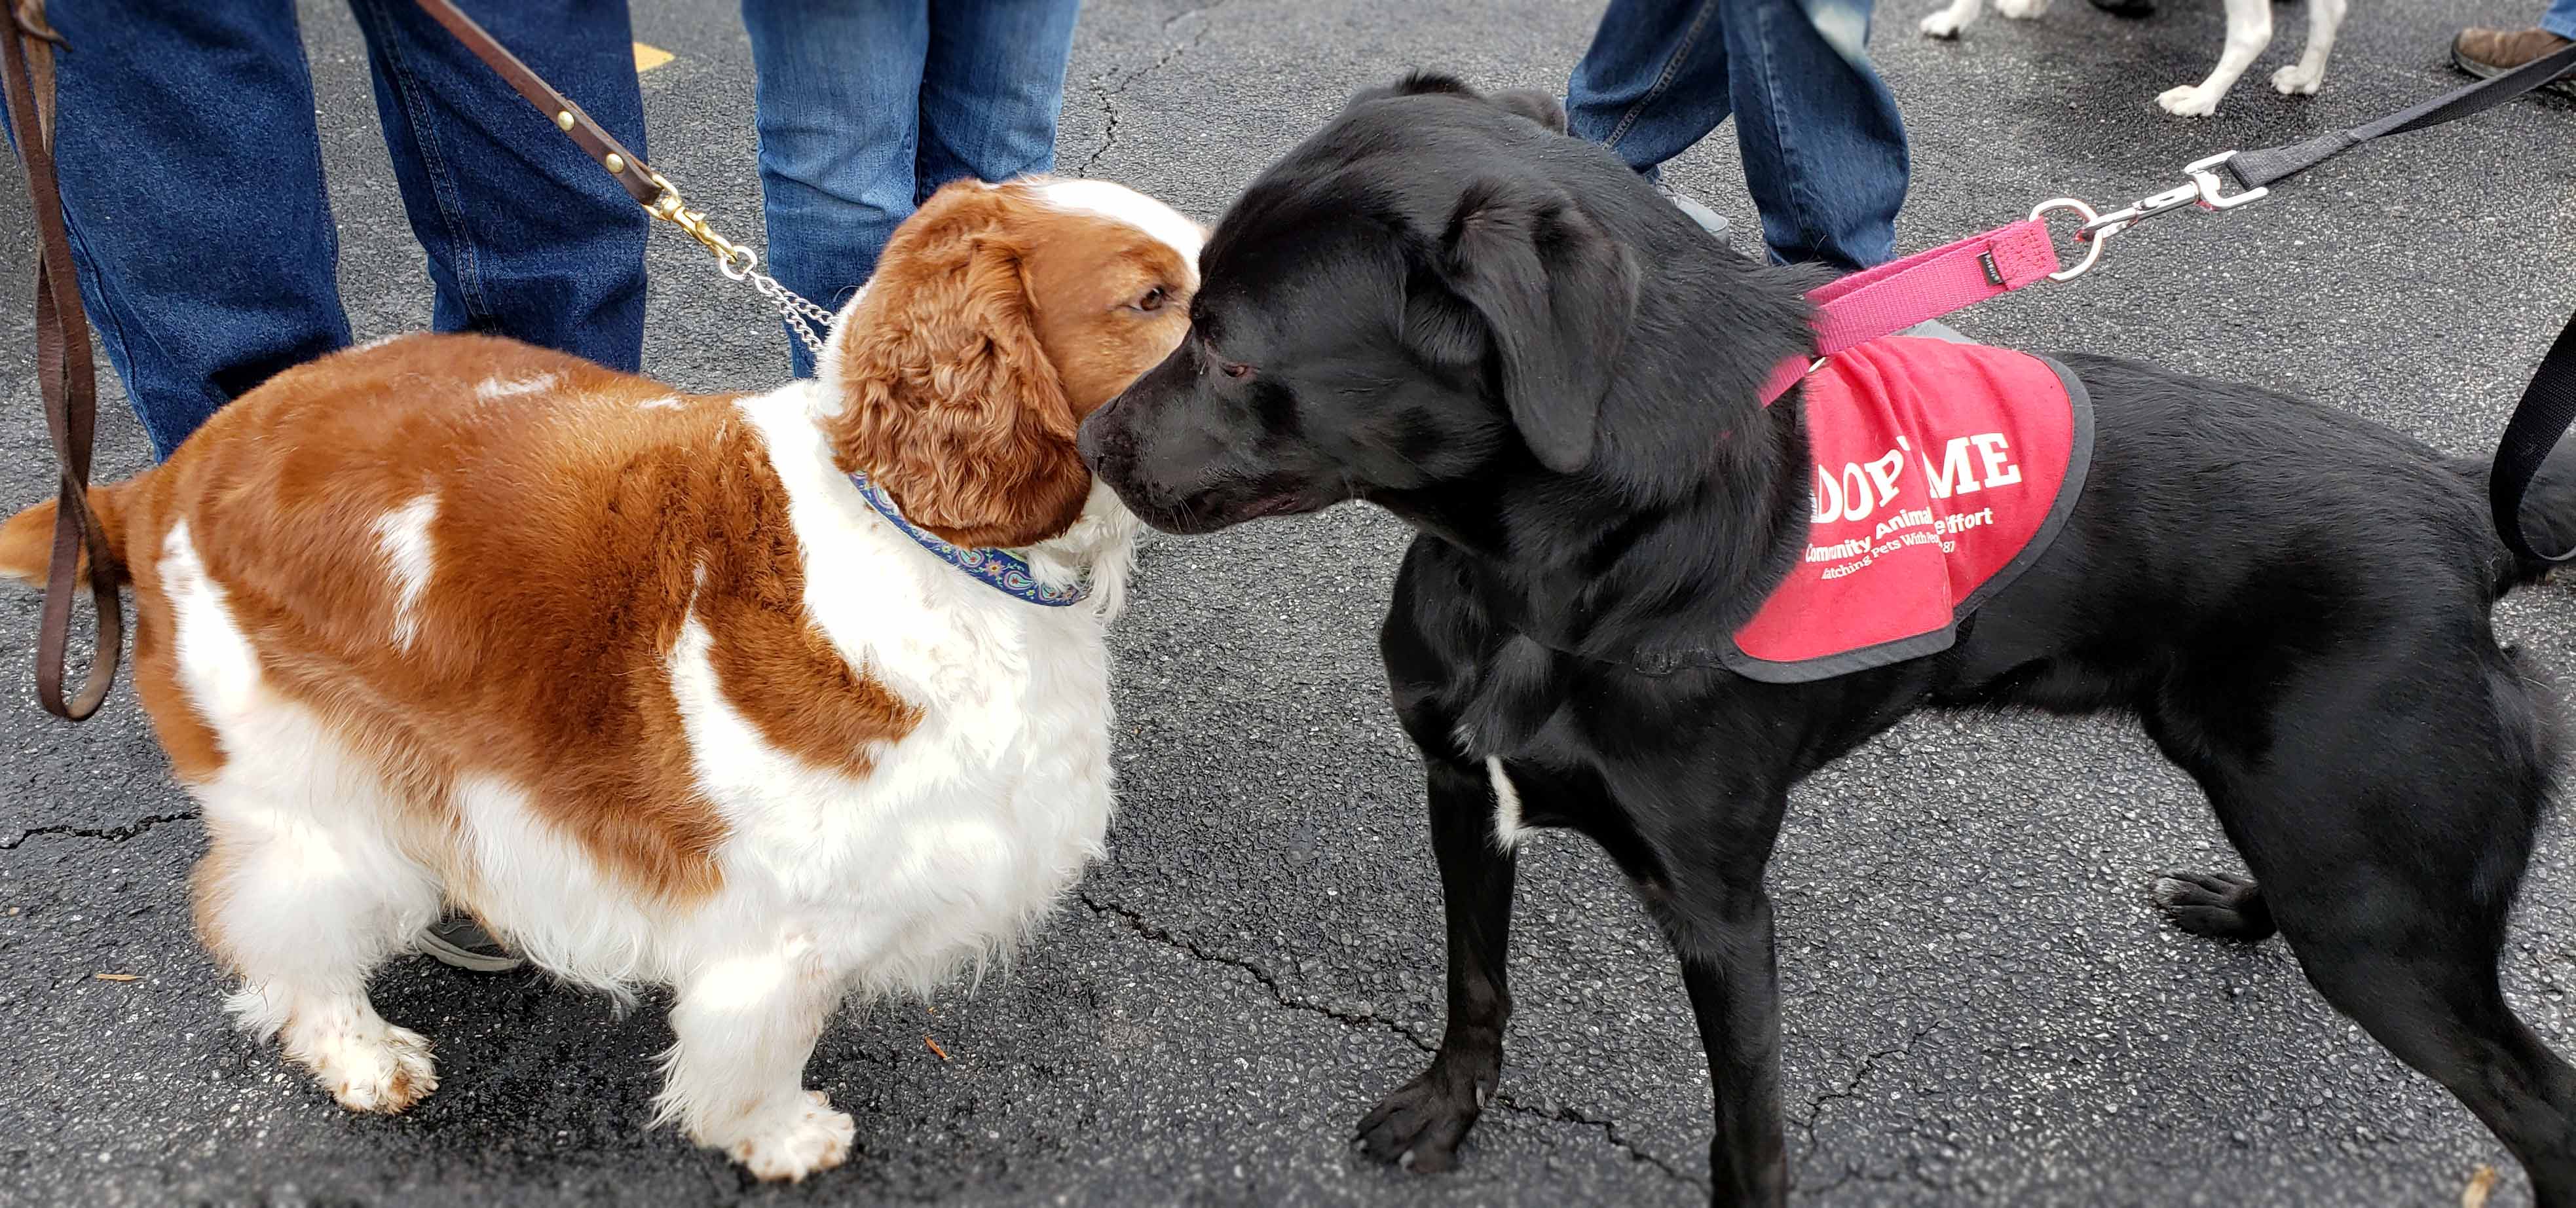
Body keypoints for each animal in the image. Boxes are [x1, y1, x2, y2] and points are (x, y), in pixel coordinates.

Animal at [0, 176, 1205, 1179]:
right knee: (282, 930)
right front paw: (783, 1137)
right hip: (312, 791)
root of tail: (160, 480)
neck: (913, 532)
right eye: (1150, 298)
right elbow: (760, 1051)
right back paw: (361, 1053)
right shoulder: (783, 930)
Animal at [1076, 73, 2576, 1195]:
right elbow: (1473, 986)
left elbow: (1746, 1138)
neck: (1545, 576)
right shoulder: (1463, 791)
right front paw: (1450, 1108)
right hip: (2319, 841)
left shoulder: (1720, 911)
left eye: (1228, 349)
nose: (1085, 442)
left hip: (2371, 911)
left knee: (2540, 1103)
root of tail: (2462, 507)